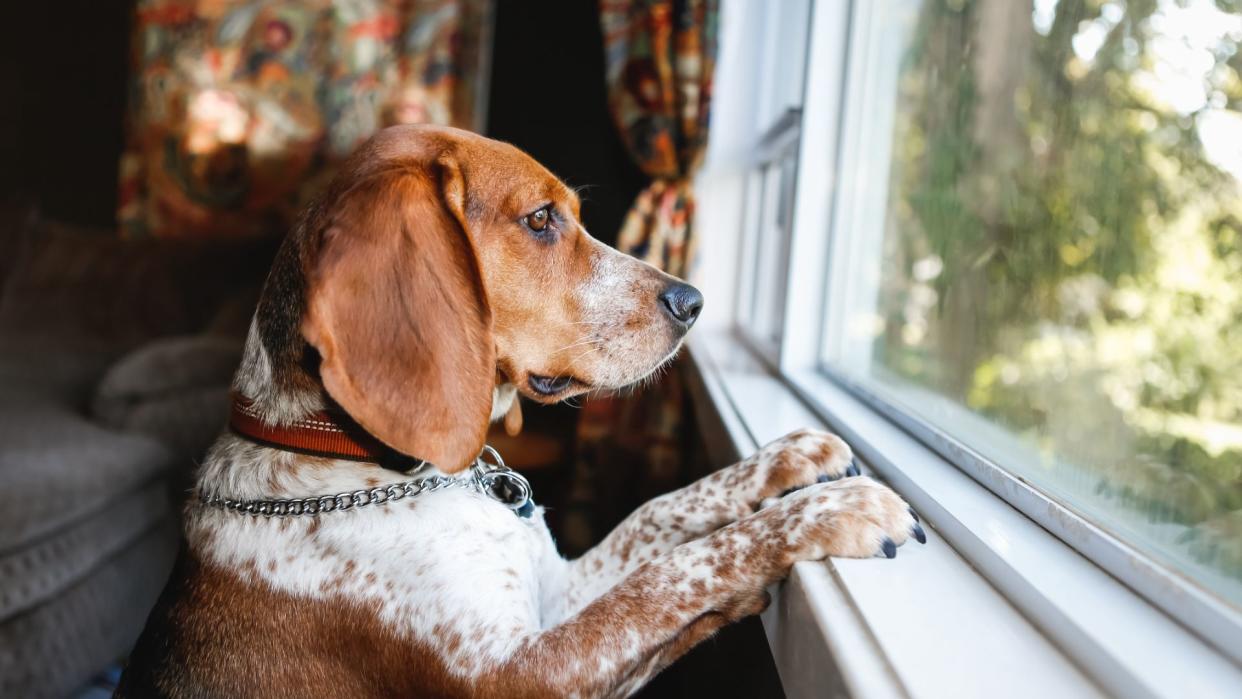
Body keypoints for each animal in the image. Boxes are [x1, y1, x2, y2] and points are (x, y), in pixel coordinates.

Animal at [118, 126, 924, 699]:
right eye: (540, 220)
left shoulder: (559, 592)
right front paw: (829, 513)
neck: (358, 459)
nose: (693, 302)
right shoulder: (524, 674)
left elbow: (659, 516)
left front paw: (789, 460)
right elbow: (675, 574)